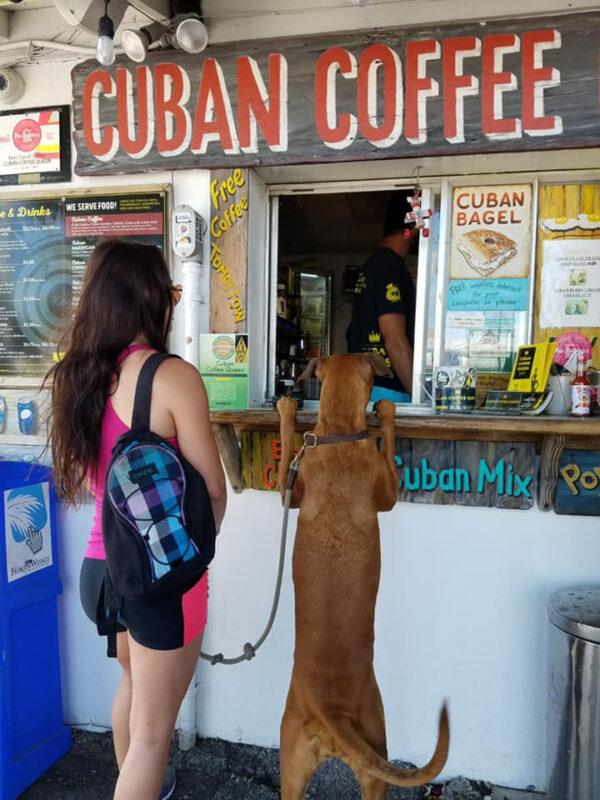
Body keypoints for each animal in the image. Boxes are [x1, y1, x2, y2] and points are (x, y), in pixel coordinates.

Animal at [276, 356, 446, 800]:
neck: (337, 433)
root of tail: (330, 710)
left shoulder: (291, 490)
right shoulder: (386, 490)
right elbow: (388, 446)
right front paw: (385, 414)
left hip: (291, 765)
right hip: (376, 749)